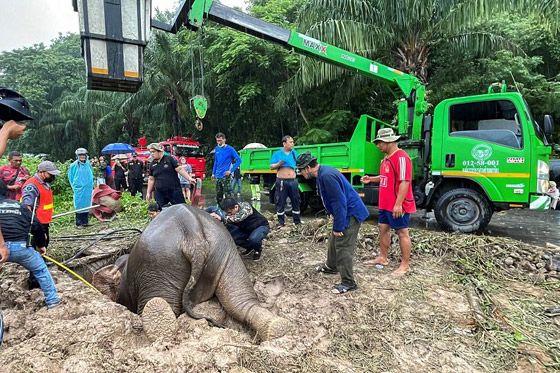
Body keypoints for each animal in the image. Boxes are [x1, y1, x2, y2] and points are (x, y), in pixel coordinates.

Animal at [92, 203, 288, 340]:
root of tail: (192, 233)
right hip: (226, 252)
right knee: (239, 301)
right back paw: (278, 328)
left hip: (159, 264)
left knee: (159, 304)